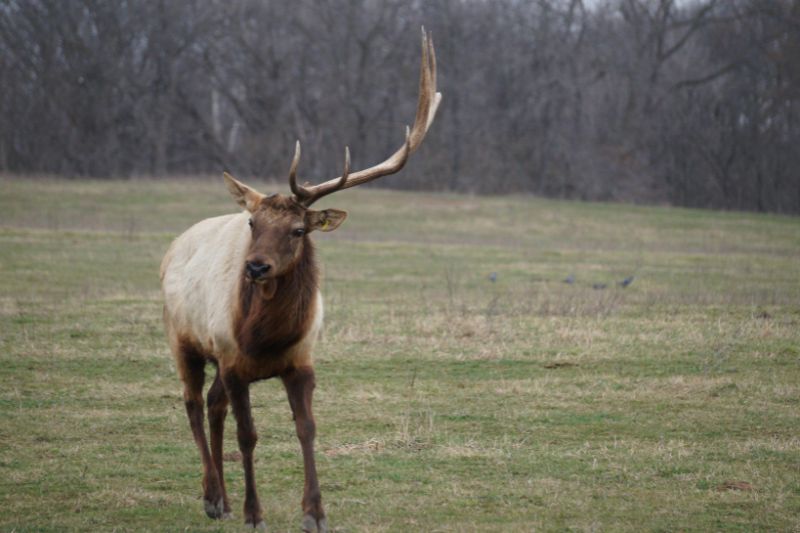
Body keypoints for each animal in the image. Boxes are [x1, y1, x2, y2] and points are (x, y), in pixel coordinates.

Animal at [160, 29, 441, 532]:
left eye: (297, 230)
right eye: (252, 224)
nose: (255, 267)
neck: (266, 339)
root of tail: (175, 245)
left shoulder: (302, 360)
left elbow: (307, 429)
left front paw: (314, 512)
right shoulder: (233, 361)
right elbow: (248, 435)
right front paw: (255, 513)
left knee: (211, 406)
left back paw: (222, 500)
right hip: (183, 339)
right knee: (192, 405)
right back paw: (212, 497)